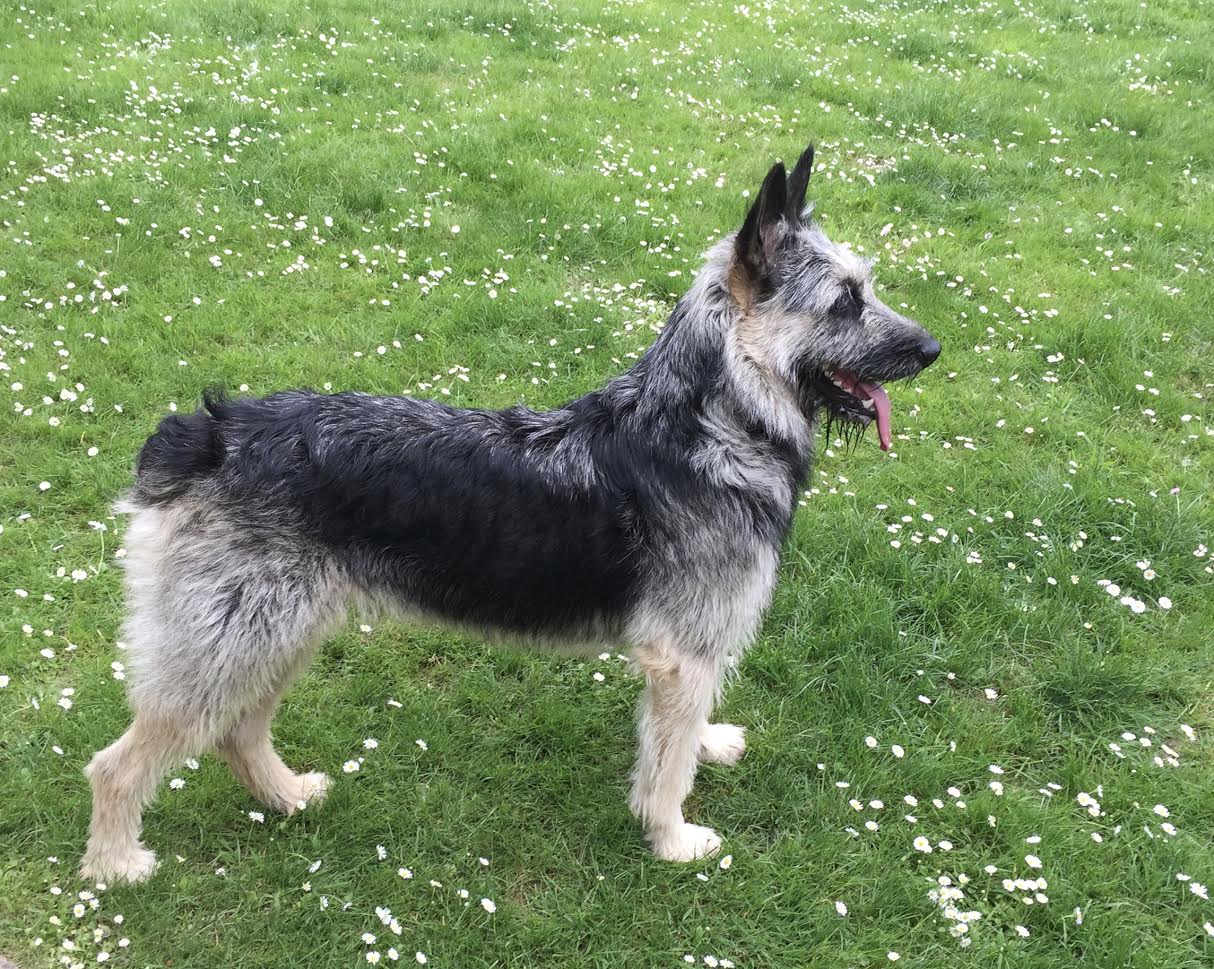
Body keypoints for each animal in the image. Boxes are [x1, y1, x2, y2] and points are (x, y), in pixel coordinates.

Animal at [83, 146, 937, 888]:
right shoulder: (681, 657)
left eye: (865, 288)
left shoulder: (695, 651)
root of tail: (207, 434)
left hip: (275, 634)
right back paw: (116, 863)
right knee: (118, 764)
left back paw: (285, 793)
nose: (931, 348)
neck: (713, 419)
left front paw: (707, 744)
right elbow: (664, 765)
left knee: (237, 729)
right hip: (227, 644)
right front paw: (671, 838)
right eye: (844, 301)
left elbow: (682, 736)